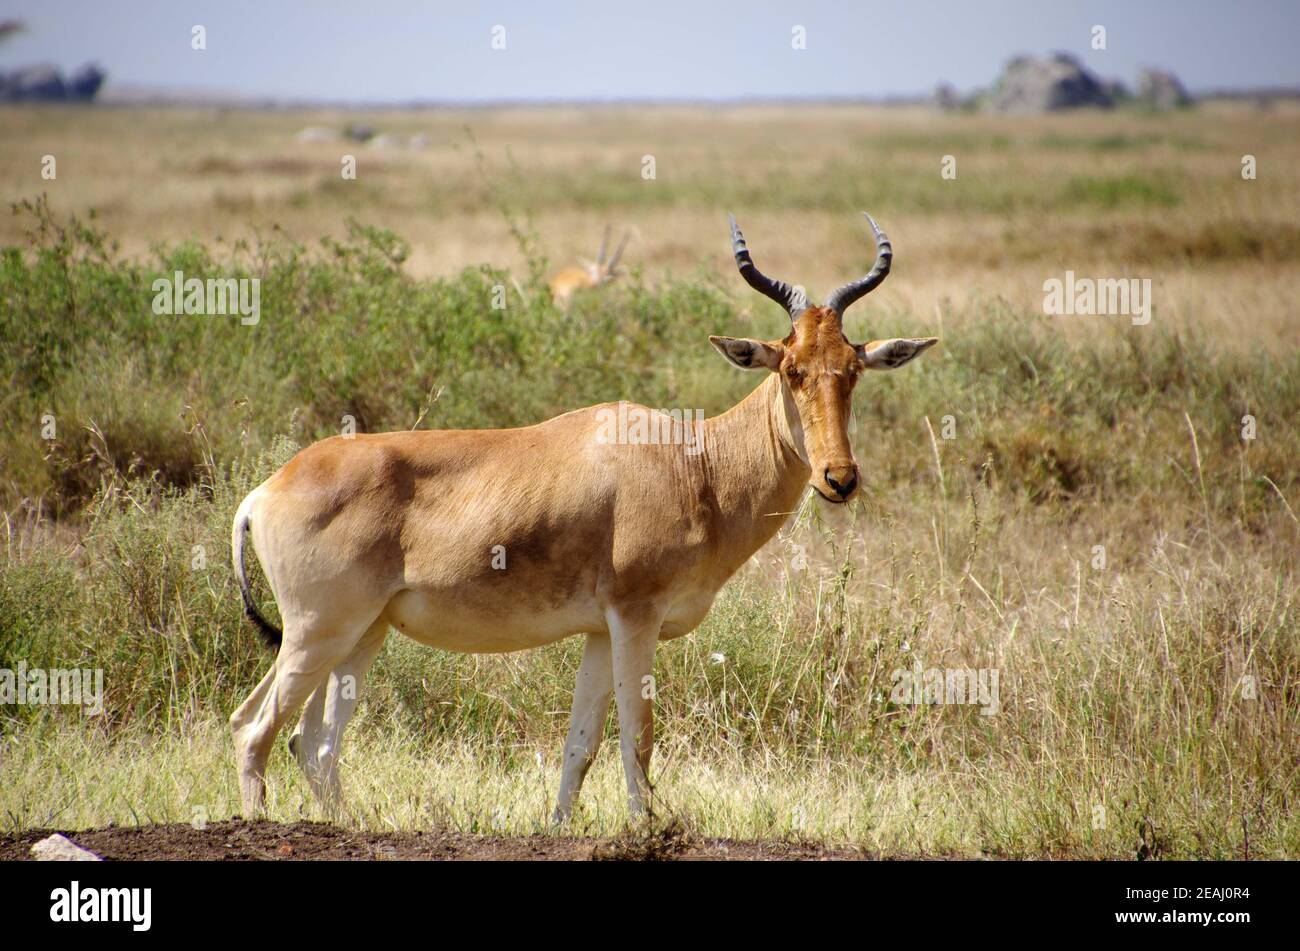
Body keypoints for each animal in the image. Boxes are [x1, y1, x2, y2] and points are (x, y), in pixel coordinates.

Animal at [226, 213, 935, 815]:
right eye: (791, 369)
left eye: (852, 369)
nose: (838, 479)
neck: (690, 460)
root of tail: (265, 491)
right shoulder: (635, 617)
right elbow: (637, 737)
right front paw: (648, 830)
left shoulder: (599, 629)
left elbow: (581, 745)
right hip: (315, 631)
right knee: (253, 727)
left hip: (361, 634)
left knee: (314, 744)